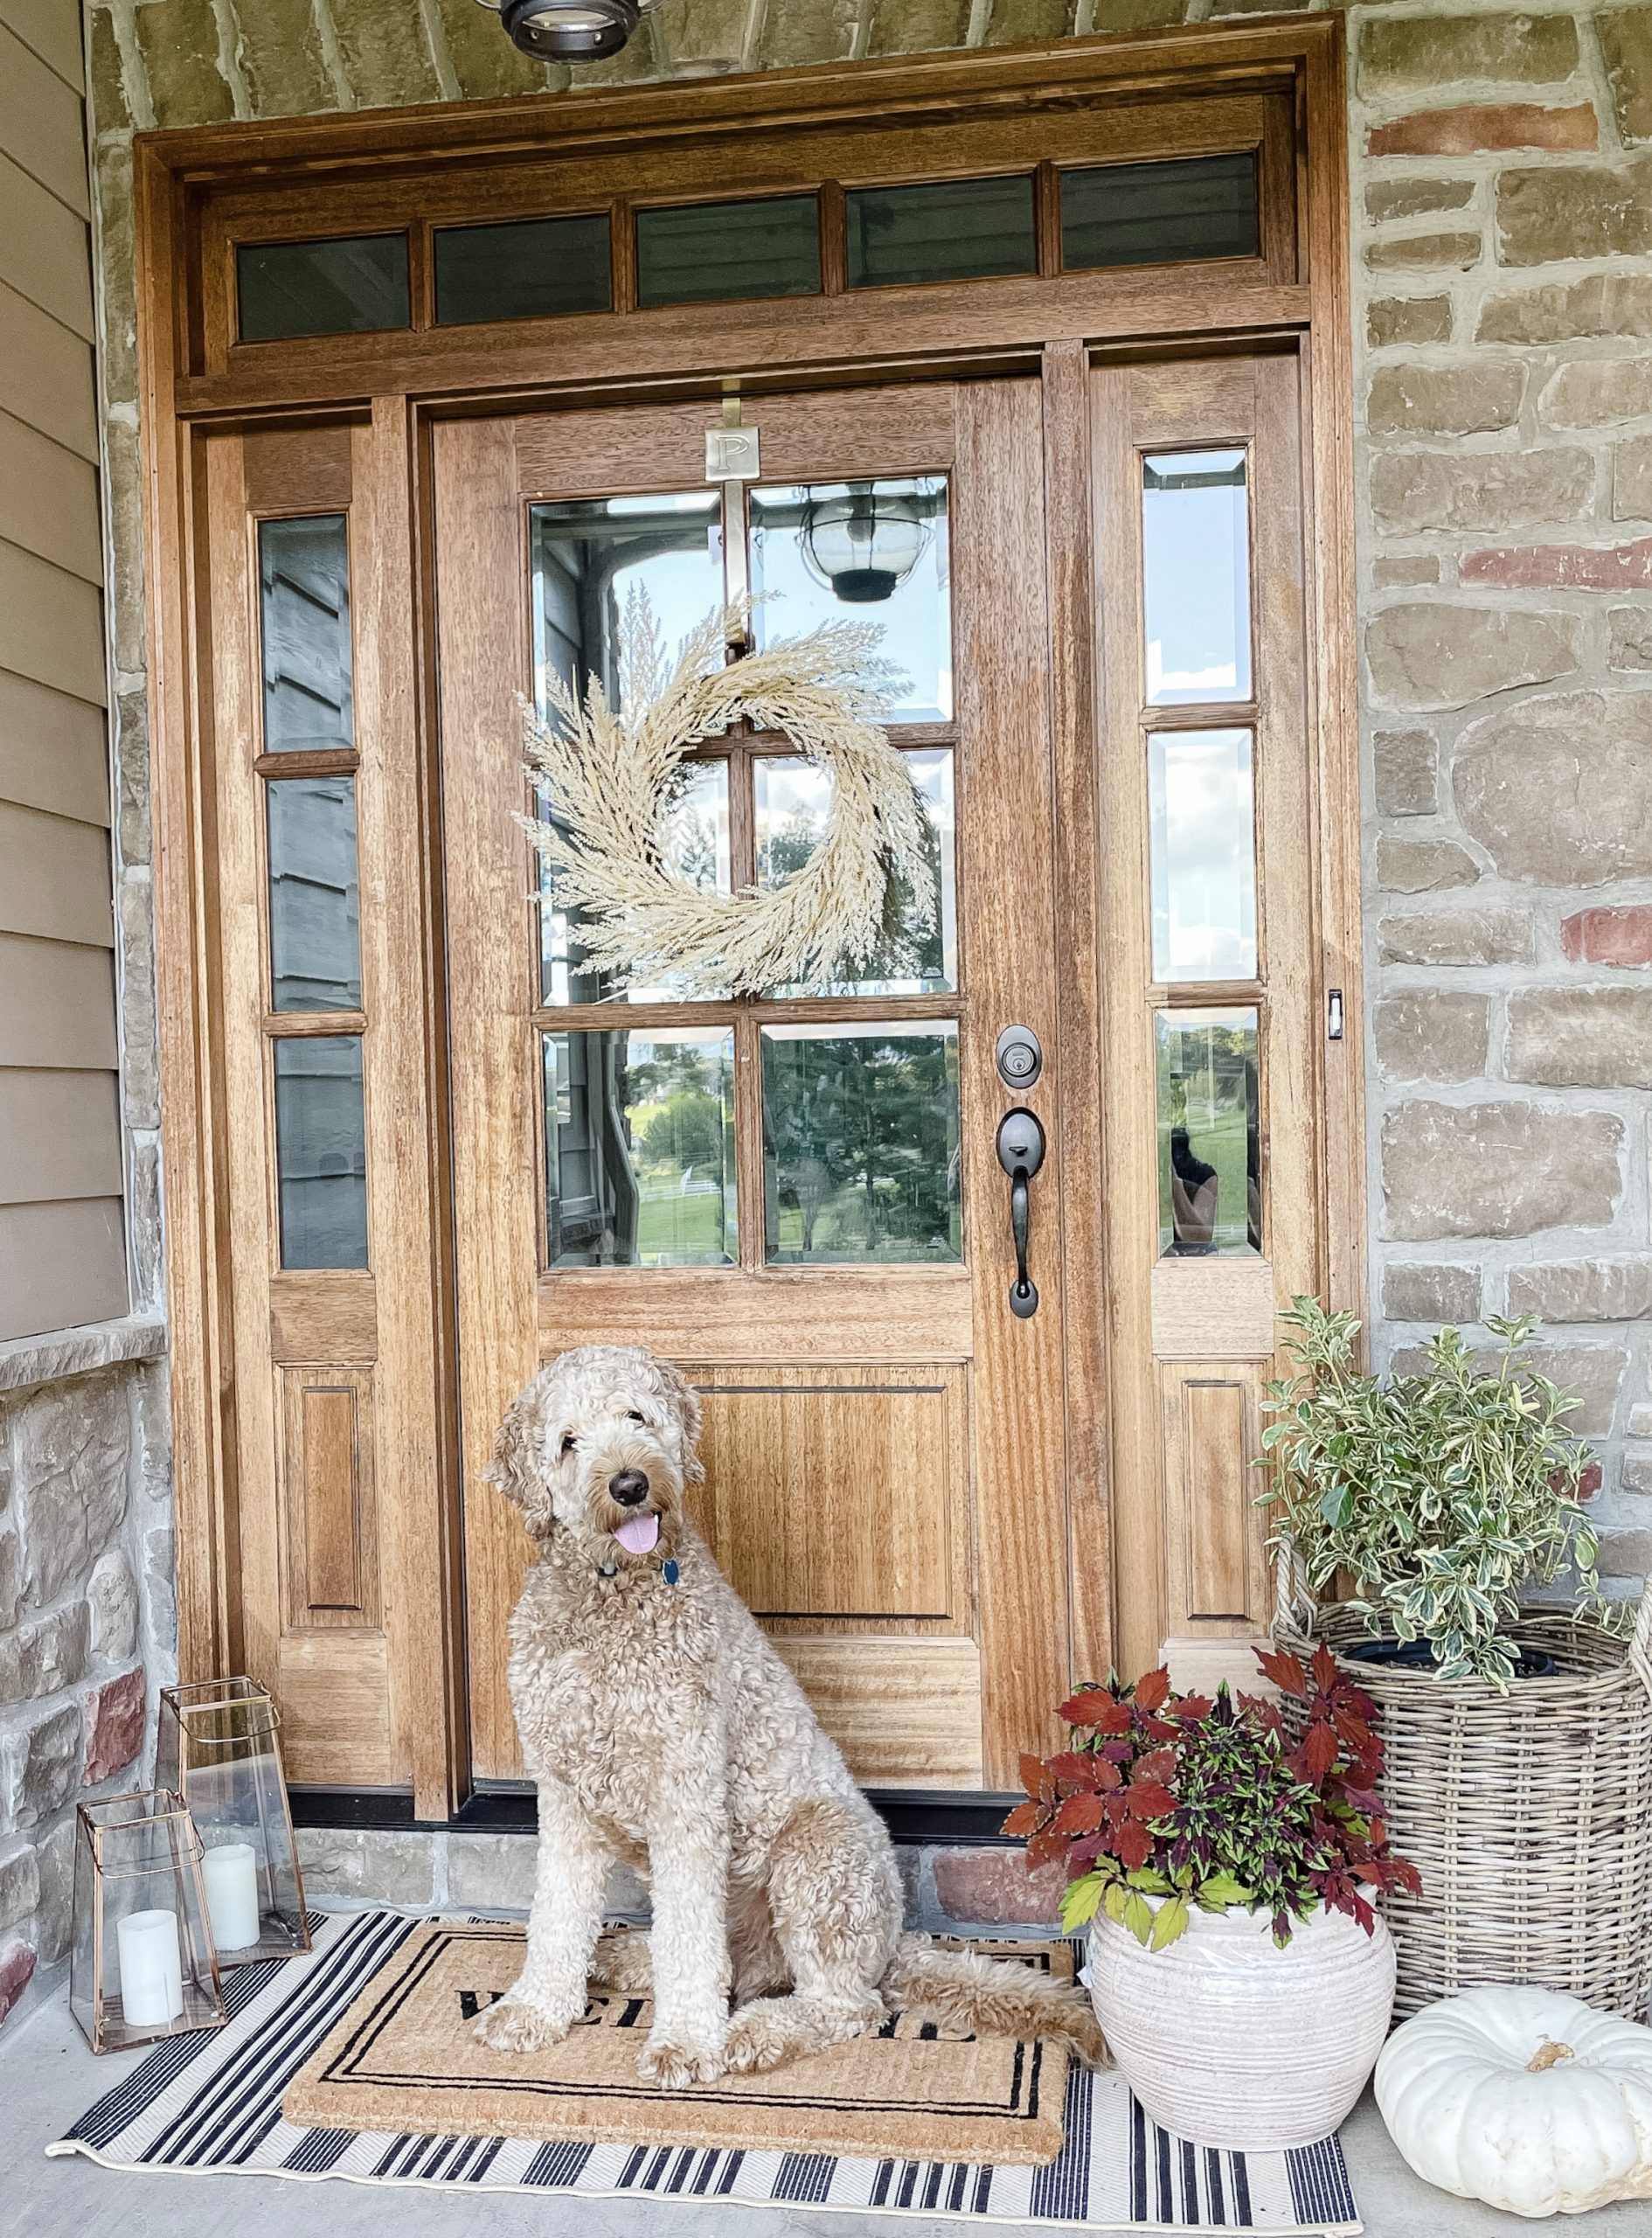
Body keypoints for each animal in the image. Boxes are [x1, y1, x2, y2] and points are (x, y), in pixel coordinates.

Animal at [469, 1333, 1101, 2085]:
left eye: (637, 1417)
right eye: (568, 1442)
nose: (630, 1485)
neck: (611, 1596)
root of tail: (895, 1941)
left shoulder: (686, 1793)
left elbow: (689, 1940)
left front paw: (685, 2044)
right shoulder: (564, 1793)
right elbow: (556, 1913)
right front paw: (534, 2009)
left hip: (818, 1854)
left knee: (844, 2005)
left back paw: (757, 2033)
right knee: (741, 1968)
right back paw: (626, 1957)